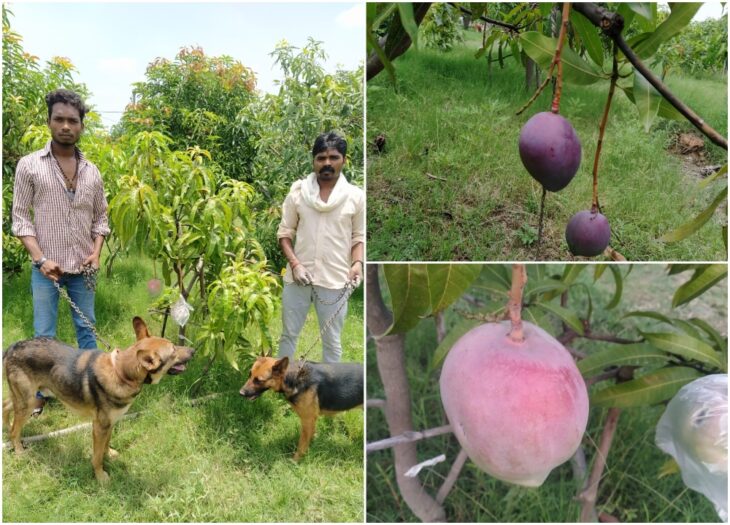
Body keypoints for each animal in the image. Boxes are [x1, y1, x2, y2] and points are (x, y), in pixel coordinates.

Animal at [1, 316, 193, 484]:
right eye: (173, 350)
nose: (193, 350)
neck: (122, 373)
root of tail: (12, 348)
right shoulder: (99, 427)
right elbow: (97, 457)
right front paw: (100, 476)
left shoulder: (110, 423)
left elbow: (105, 445)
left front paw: (109, 454)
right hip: (28, 402)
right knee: (15, 431)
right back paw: (18, 450)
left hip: (27, 398)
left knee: (5, 406)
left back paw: (5, 426)